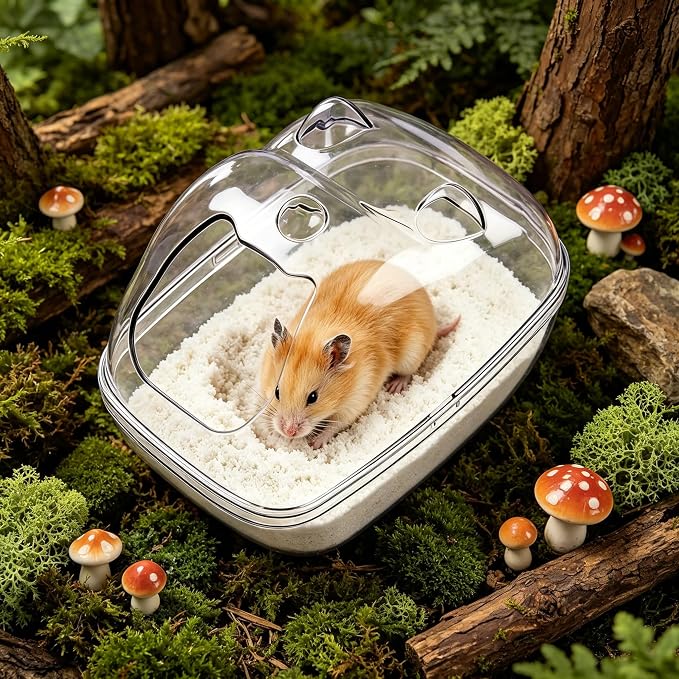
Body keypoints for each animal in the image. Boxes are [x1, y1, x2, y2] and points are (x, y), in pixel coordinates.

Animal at [259, 259, 459, 449]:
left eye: (313, 397)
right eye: (277, 392)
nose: (288, 432)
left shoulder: (357, 399)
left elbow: (336, 424)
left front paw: (315, 443)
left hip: (413, 353)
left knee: (409, 372)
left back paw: (395, 386)